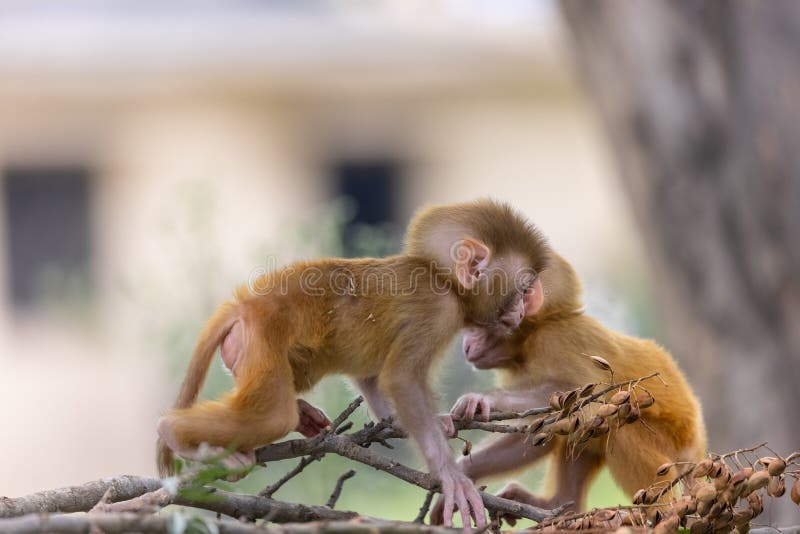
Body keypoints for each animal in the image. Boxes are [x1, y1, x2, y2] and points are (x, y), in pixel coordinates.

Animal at [156, 199, 550, 528]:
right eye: (521, 290)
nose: (520, 312)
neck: (442, 278)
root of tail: (243, 305)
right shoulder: (436, 310)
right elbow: (401, 379)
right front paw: (449, 474)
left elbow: (372, 377)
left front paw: (411, 421)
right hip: (263, 336)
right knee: (272, 415)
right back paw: (174, 432)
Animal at [430, 252, 707, 524]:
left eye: (477, 326)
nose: (466, 344)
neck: (530, 340)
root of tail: (697, 447)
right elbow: (542, 433)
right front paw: (461, 474)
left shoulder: (555, 340)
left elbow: (587, 395)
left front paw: (485, 401)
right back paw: (560, 505)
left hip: (672, 440)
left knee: (617, 423)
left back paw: (660, 511)